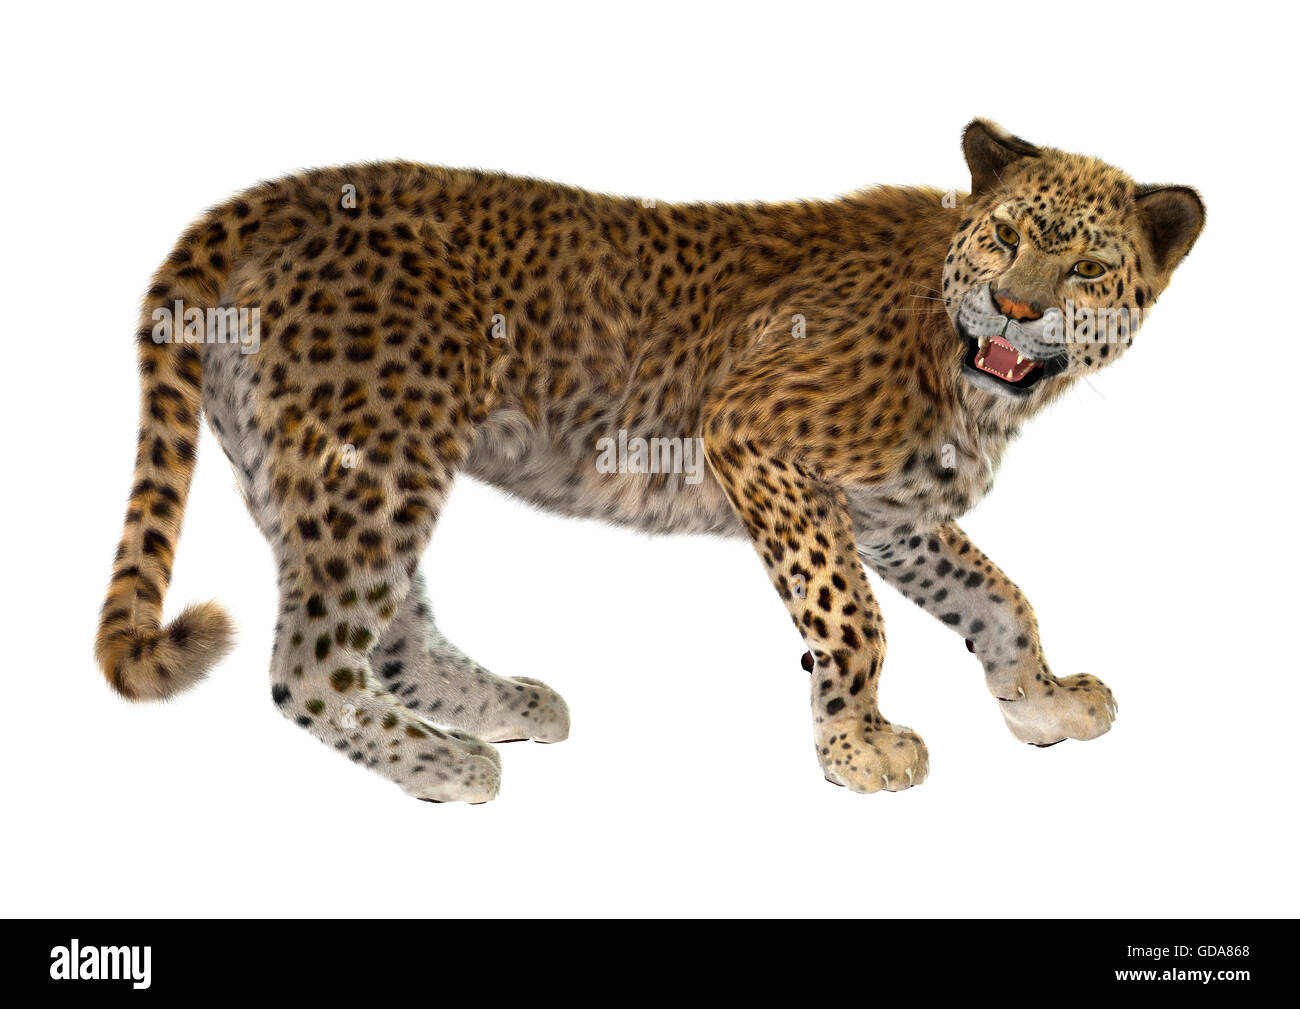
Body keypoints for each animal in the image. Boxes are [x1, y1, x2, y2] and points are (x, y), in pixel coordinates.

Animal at [95, 120, 1204, 802]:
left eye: (1088, 267)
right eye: (1006, 235)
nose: (1015, 307)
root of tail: (276, 195)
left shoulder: (890, 514)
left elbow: (997, 598)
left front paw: (1042, 700)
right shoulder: (754, 435)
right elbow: (852, 621)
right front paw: (856, 746)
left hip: (325, 460)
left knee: (386, 632)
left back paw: (500, 709)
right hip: (377, 450)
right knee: (308, 662)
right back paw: (450, 767)